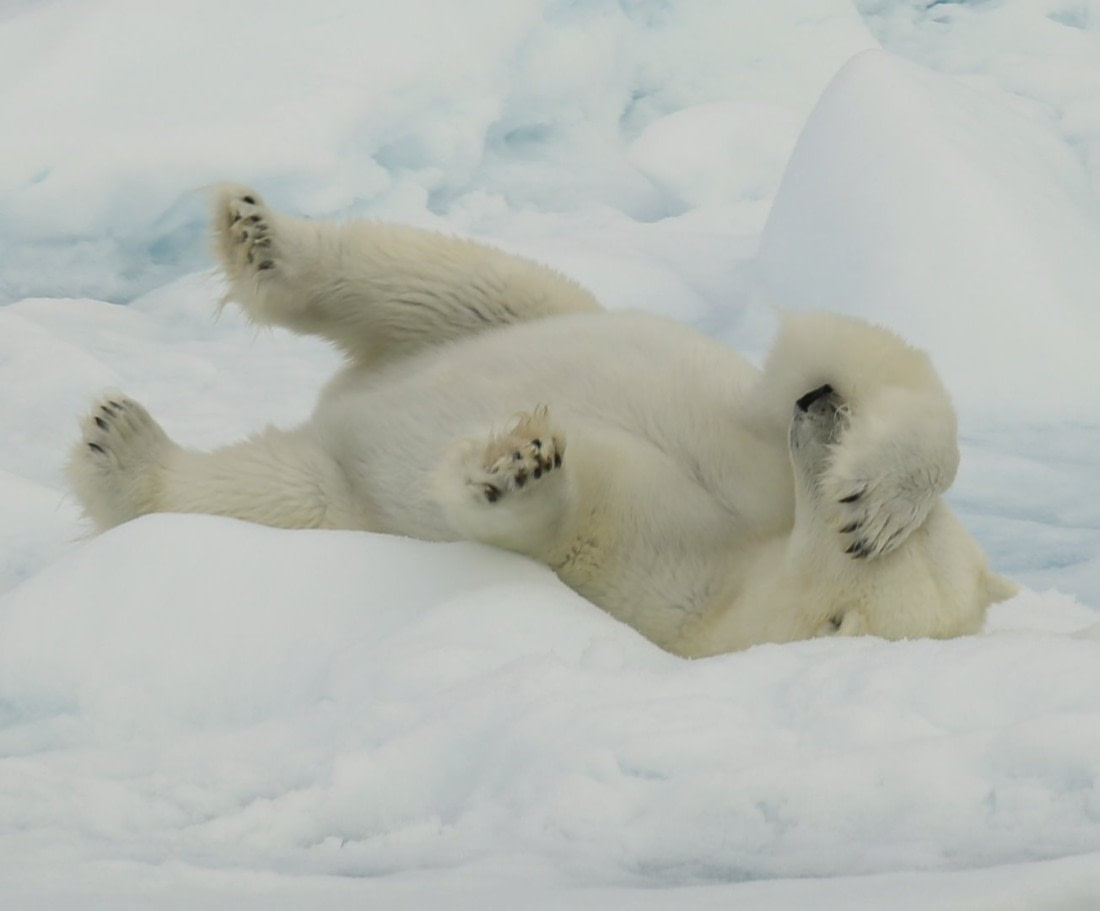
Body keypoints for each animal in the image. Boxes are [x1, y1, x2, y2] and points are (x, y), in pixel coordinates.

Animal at [65, 184, 1017, 657]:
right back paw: (260, 235)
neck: (760, 547)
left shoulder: (670, 599)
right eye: (819, 462)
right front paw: (876, 497)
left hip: (345, 497)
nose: (819, 412)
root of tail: (346, 402)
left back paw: (125, 449)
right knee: (444, 276)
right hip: (530, 312)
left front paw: (518, 462)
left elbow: (556, 529)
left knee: (275, 490)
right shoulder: (748, 427)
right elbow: (865, 347)